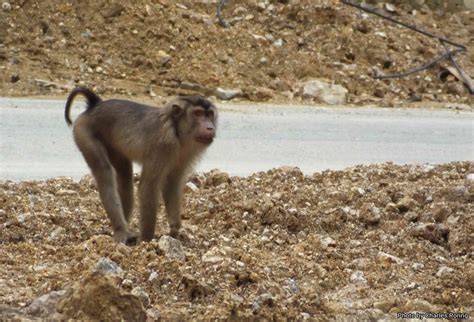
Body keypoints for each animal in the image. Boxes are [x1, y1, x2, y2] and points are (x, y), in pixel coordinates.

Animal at [64, 87, 217, 243]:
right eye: (198, 114)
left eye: (209, 114)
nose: (210, 127)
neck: (176, 131)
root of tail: (95, 105)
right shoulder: (162, 145)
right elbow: (148, 187)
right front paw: (146, 240)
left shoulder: (185, 154)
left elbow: (172, 183)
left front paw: (175, 229)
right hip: (83, 131)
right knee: (104, 171)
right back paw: (121, 230)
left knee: (124, 175)